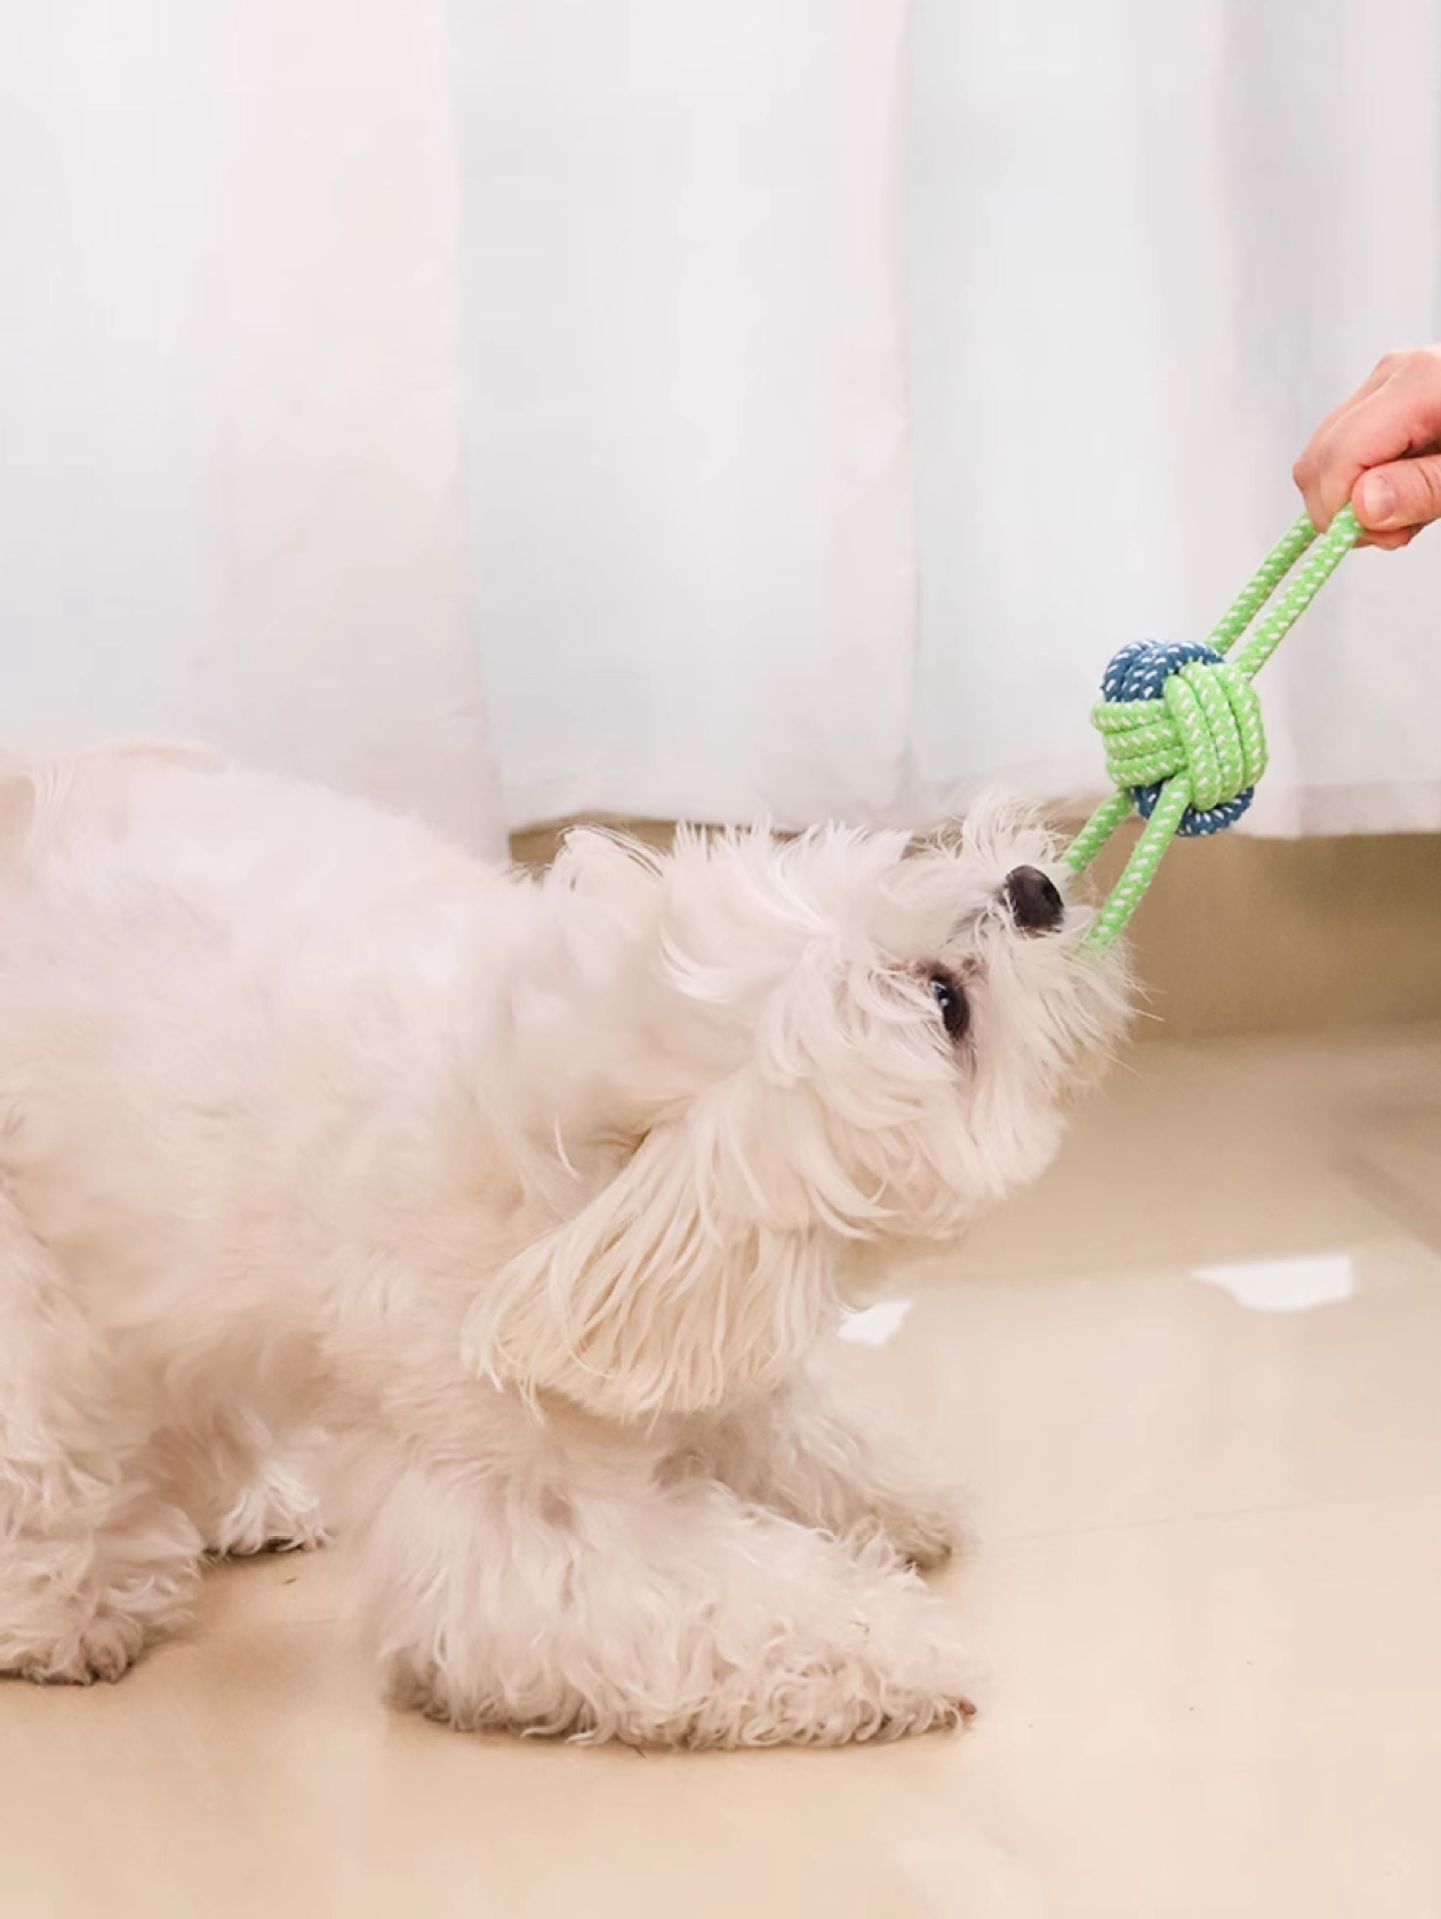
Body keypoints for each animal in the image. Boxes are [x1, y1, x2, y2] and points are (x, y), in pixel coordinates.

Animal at [0, 745, 1126, 1745]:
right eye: (947, 1002)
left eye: (886, 872)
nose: (1031, 889)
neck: (578, 1196)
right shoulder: (522, 1521)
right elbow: (710, 1600)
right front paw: (898, 1646)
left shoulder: (686, 1327)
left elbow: (777, 1419)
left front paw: (884, 1494)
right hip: (47, 1289)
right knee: (52, 1452)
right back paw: (69, 1616)